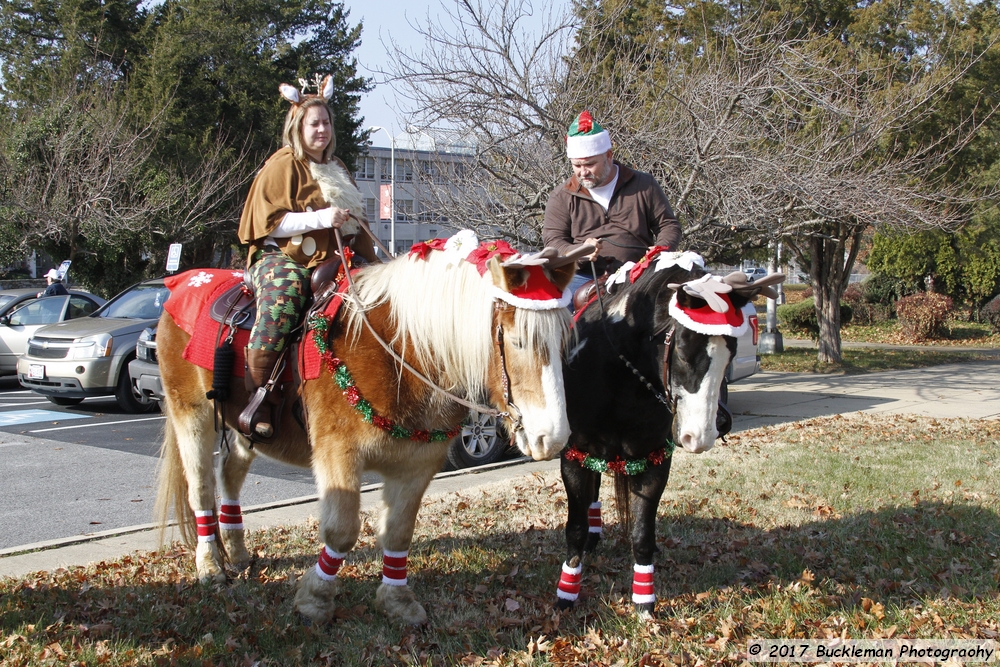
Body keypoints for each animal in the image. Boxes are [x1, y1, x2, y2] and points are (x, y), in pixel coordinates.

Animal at [156, 236, 580, 628]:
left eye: (564, 342)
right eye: (518, 340)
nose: (553, 438)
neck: (404, 352)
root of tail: (184, 282)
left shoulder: (418, 463)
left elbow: (398, 533)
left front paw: (397, 601)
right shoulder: (338, 454)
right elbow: (342, 531)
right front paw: (315, 599)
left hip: (245, 432)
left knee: (229, 474)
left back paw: (238, 553)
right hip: (190, 414)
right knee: (201, 488)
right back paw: (210, 566)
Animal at [556, 250, 780, 616]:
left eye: (731, 352)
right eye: (685, 350)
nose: (699, 437)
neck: (623, 376)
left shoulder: (654, 460)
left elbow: (643, 533)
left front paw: (644, 603)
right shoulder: (574, 455)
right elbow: (574, 528)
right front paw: (566, 594)